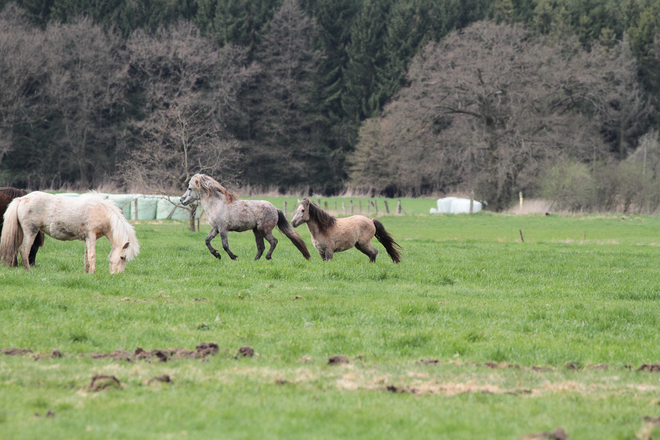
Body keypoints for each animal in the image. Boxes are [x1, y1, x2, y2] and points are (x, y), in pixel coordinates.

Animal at [0, 192, 139, 274]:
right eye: (122, 257)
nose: (118, 275)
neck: (102, 212)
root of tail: (23, 198)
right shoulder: (91, 236)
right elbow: (92, 256)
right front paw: (93, 274)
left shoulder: (87, 238)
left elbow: (86, 257)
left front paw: (86, 273)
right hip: (31, 231)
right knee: (24, 250)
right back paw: (28, 270)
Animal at [179, 173, 310, 262]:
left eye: (189, 188)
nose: (181, 200)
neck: (217, 205)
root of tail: (275, 209)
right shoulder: (215, 228)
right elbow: (207, 241)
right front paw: (217, 255)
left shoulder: (222, 229)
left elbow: (225, 245)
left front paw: (233, 257)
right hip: (256, 230)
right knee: (261, 247)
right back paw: (255, 260)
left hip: (264, 230)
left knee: (273, 242)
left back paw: (268, 257)